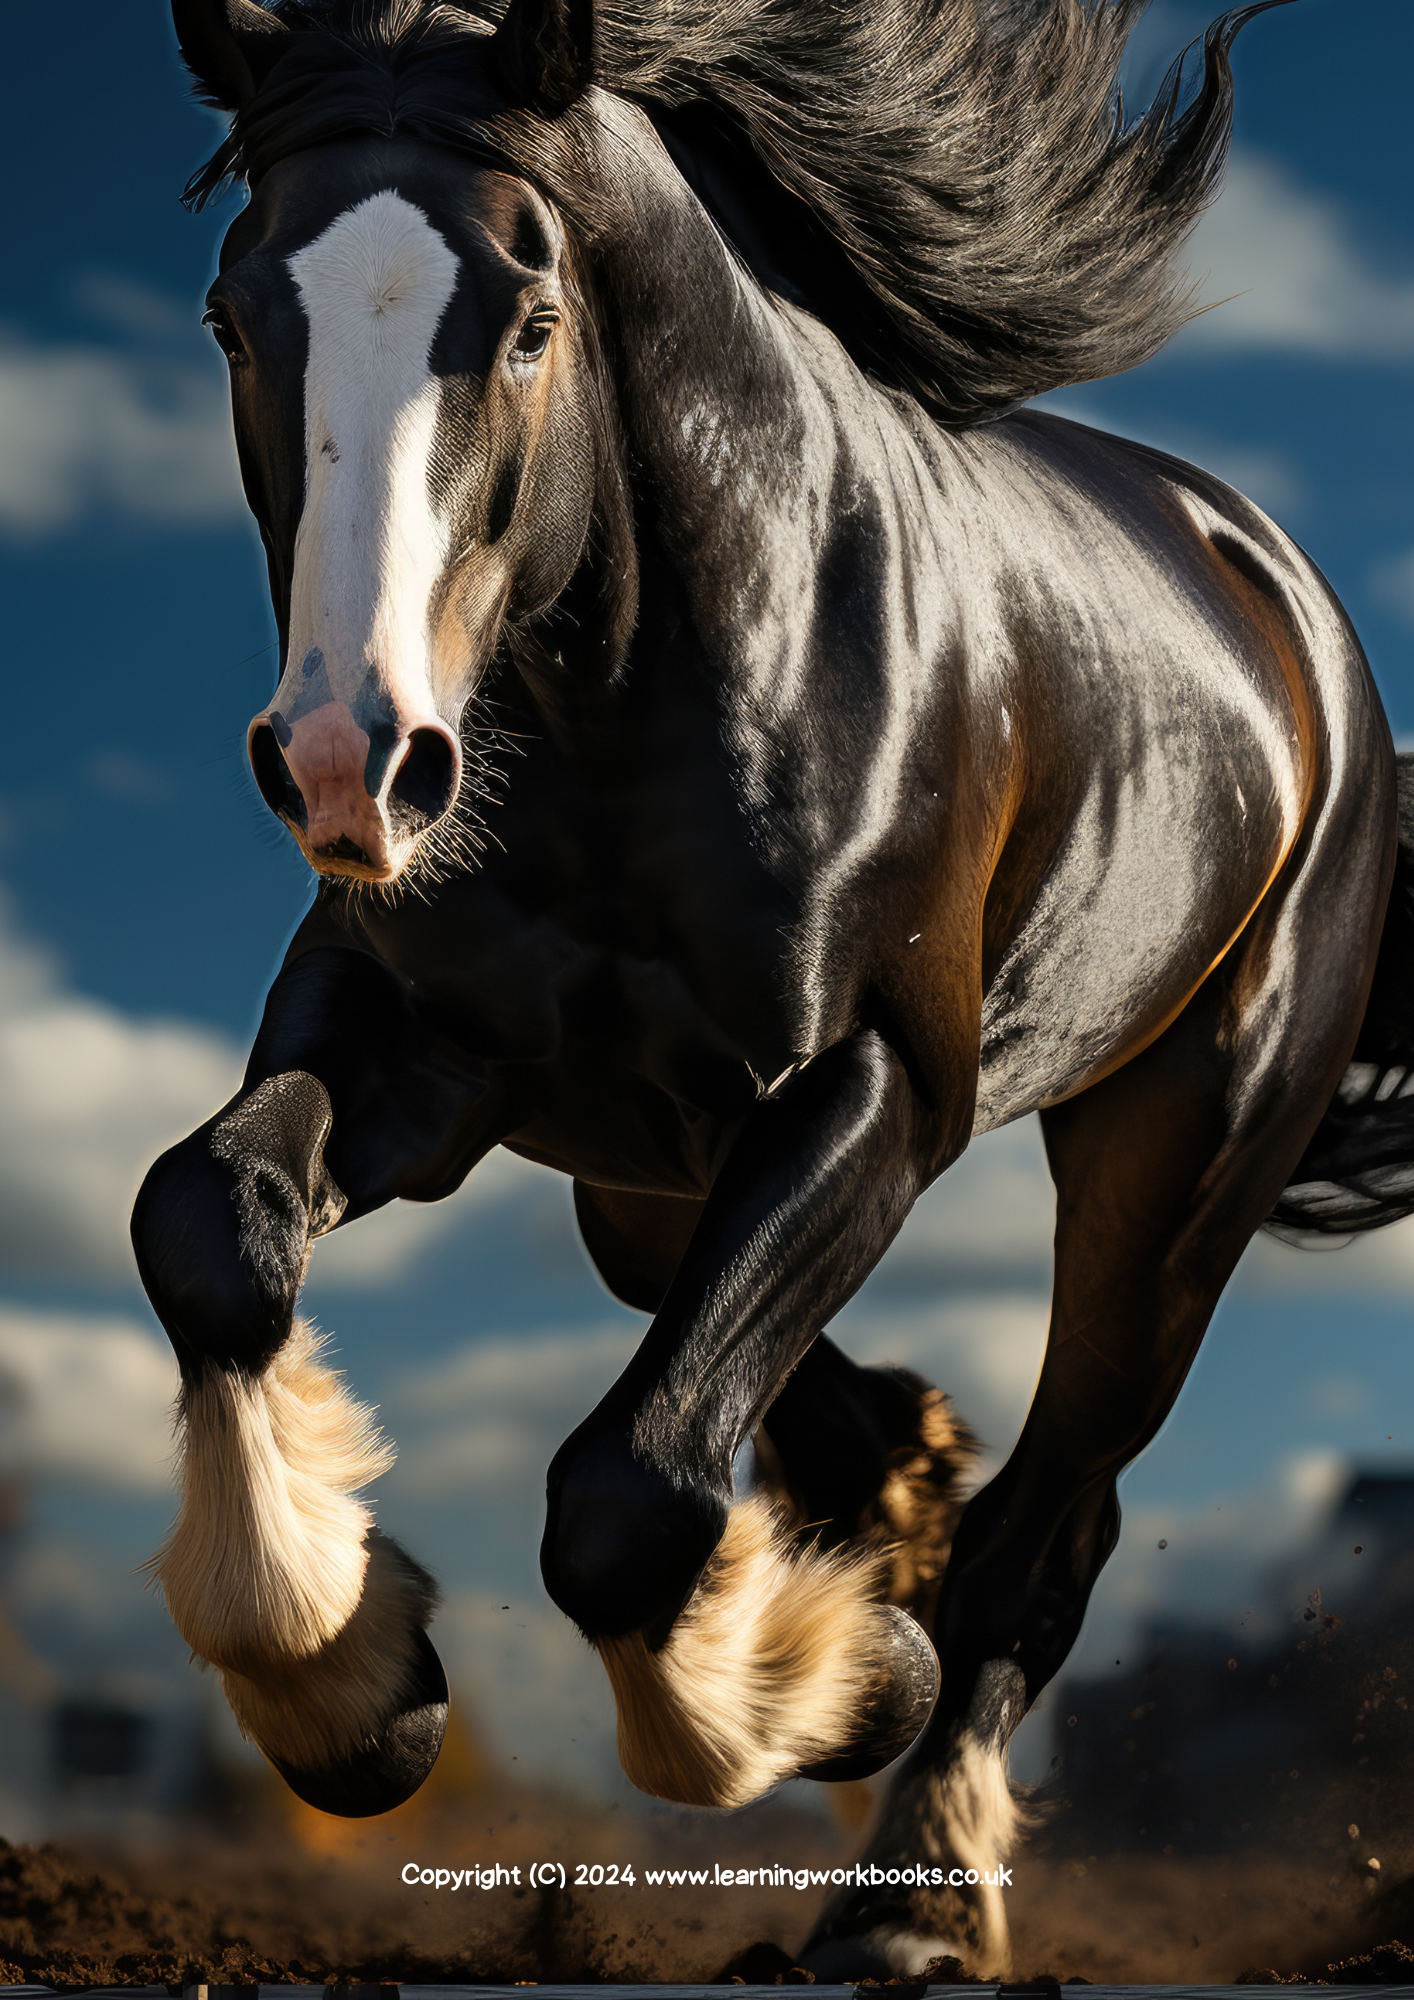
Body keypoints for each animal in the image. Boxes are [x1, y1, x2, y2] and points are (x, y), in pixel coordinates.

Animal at [133, 0, 1414, 1974]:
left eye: (528, 317)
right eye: (230, 313)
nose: (353, 765)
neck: (632, 684)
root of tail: (1283, 608)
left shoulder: (871, 1087)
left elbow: (626, 1493)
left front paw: (824, 1694)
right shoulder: (414, 1039)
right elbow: (205, 1219)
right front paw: (339, 1690)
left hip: (1172, 1166)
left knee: (1041, 1539)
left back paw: (908, 1907)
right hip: (637, 1179)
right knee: (844, 1422)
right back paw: (892, 1513)